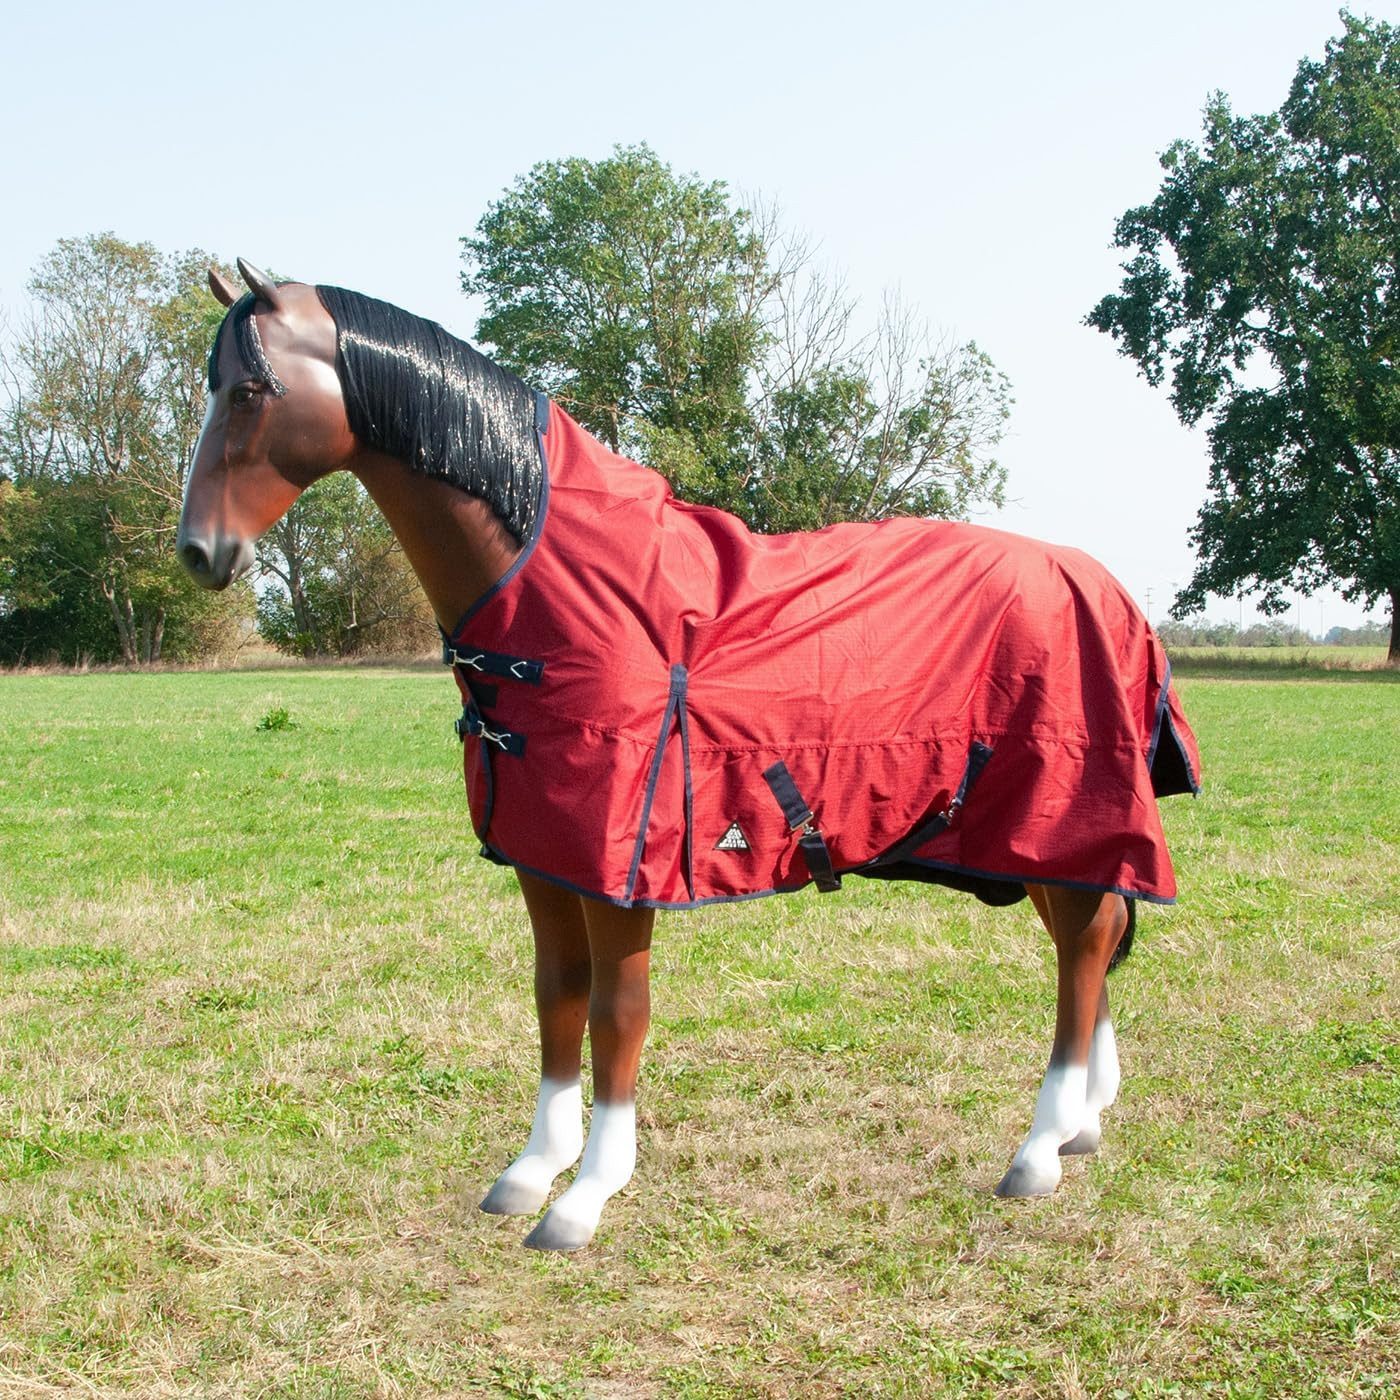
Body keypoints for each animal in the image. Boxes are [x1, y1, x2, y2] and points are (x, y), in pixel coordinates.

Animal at [178, 259, 1200, 1252]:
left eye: (253, 388)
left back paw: (1040, 1150)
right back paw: (1083, 1124)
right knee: (1090, 937)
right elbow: (557, 1000)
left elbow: (615, 1016)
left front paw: (587, 1195)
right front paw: (530, 1171)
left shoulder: (621, 874)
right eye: (213, 384)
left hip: (1061, 814)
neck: (559, 594)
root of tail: (1109, 586)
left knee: (1083, 951)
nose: (199, 553)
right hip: (1034, 840)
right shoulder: (547, 860)